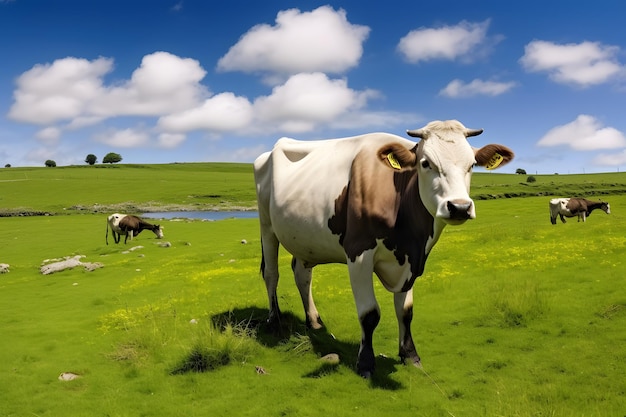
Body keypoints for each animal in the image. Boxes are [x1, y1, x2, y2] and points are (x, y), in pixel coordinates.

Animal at [252, 118, 512, 376]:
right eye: (426, 163)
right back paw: (274, 321)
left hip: (304, 238)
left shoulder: (413, 260)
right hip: (266, 225)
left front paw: (410, 355)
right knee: (271, 274)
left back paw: (314, 321)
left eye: (472, 164)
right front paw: (366, 363)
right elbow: (369, 313)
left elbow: (406, 311)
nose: (459, 207)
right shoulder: (358, 253)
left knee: (302, 275)